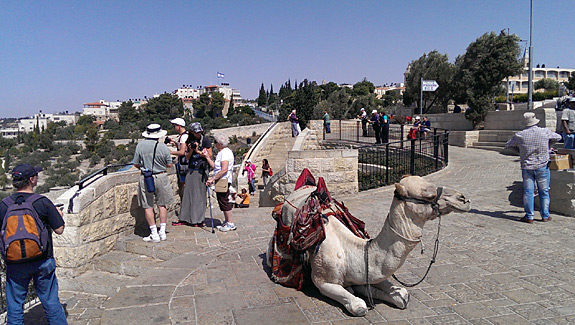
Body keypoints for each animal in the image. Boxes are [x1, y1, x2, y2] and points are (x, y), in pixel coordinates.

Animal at [268, 176, 470, 316]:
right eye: (428, 194)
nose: (464, 199)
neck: (351, 251)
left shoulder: (369, 273)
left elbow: (401, 295)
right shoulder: (323, 281)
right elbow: (359, 306)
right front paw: (356, 295)